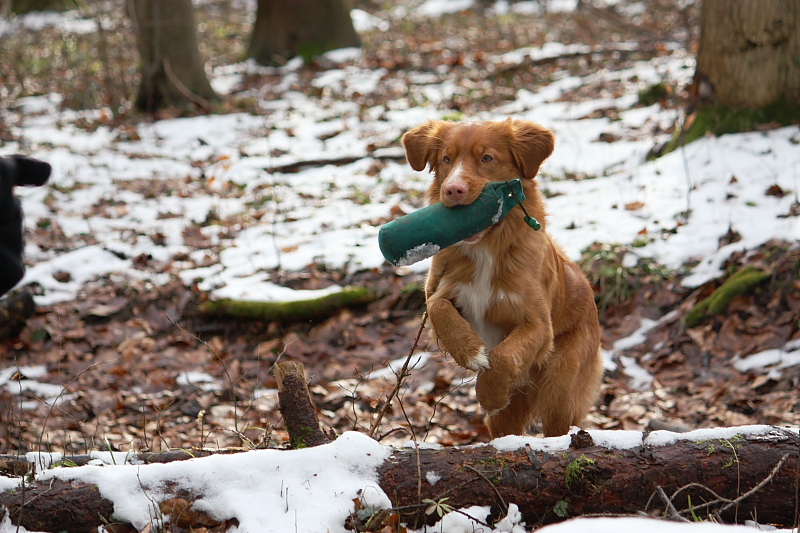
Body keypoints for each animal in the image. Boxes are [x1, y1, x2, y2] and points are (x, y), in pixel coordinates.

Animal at [404, 119, 604, 436]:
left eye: (487, 158)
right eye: (447, 159)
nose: (453, 190)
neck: (486, 248)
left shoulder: (538, 324)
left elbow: (504, 356)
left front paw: (489, 393)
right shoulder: (440, 289)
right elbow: (438, 308)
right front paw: (471, 352)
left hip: (561, 386)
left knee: (558, 419)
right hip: (510, 415)